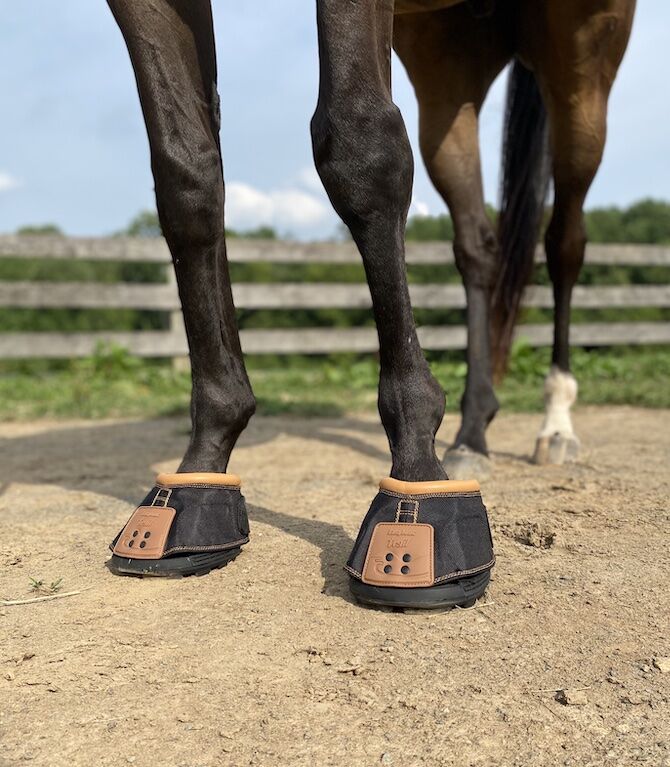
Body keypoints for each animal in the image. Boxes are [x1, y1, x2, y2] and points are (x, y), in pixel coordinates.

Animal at [106, 0, 635, 609]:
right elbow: (187, 179)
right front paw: (200, 471)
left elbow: (361, 147)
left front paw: (418, 471)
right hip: (448, 69)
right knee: (477, 246)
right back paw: (472, 432)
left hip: (580, 57)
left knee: (566, 241)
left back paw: (556, 421)